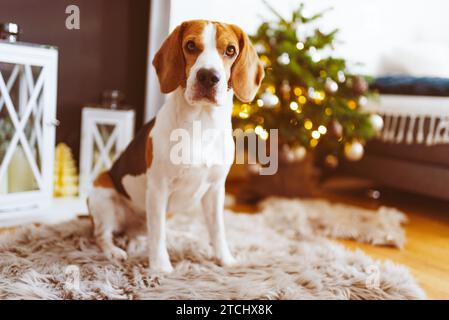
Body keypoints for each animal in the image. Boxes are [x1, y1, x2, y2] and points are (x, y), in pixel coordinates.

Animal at [86, 20, 264, 272]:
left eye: (230, 50)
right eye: (190, 45)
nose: (208, 76)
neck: (202, 123)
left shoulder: (216, 190)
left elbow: (217, 229)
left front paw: (224, 259)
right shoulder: (158, 188)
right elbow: (158, 233)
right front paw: (160, 267)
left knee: (147, 232)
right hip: (102, 192)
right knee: (103, 235)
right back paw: (114, 251)